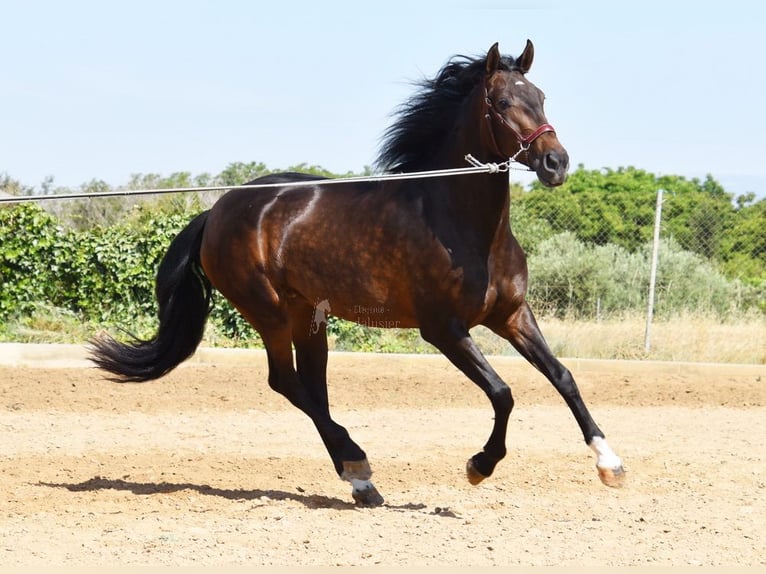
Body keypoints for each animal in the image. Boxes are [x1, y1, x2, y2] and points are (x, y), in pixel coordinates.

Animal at [93, 41, 628, 508]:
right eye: (501, 102)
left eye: (540, 97)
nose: (556, 163)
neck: (459, 223)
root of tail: (218, 210)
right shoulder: (443, 329)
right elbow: (503, 392)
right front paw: (479, 465)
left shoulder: (512, 315)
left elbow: (563, 377)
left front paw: (610, 463)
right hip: (268, 312)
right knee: (286, 383)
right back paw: (358, 466)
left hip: (308, 316)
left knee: (311, 387)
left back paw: (360, 481)